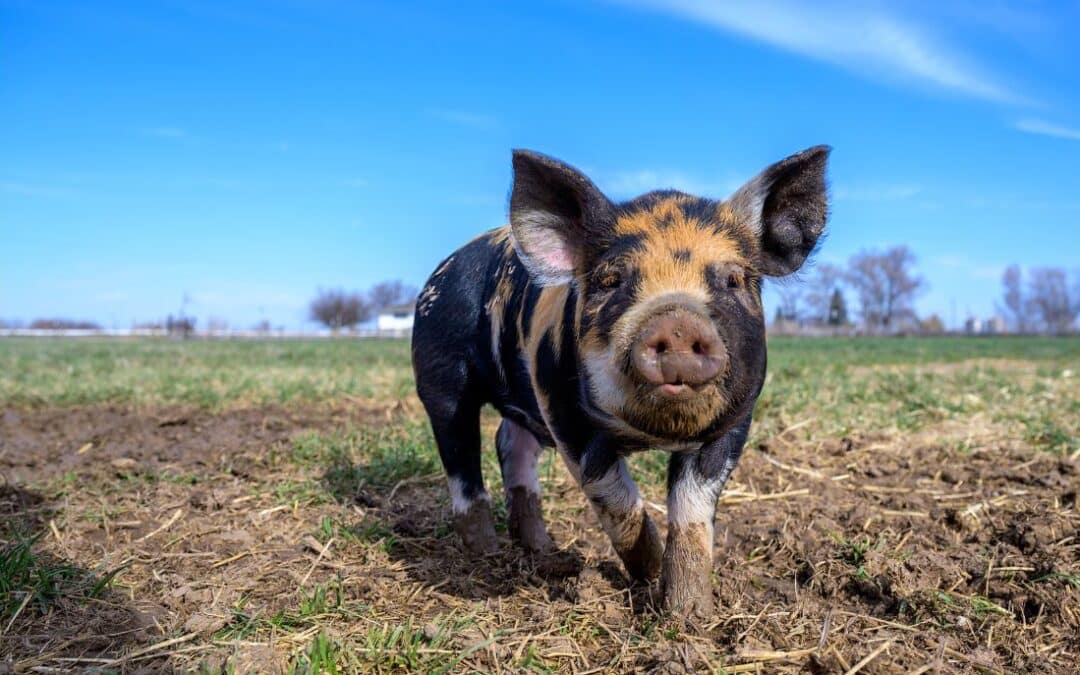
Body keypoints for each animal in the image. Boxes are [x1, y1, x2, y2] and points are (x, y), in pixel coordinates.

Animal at [412, 146, 829, 617]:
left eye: (734, 279)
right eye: (611, 280)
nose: (678, 323)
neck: (652, 435)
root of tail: (446, 265)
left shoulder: (735, 422)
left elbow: (692, 514)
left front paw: (689, 614)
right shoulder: (564, 413)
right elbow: (616, 500)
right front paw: (648, 573)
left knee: (510, 446)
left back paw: (543, 552)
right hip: (440, 374)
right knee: (461, 457)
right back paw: (486, 551)